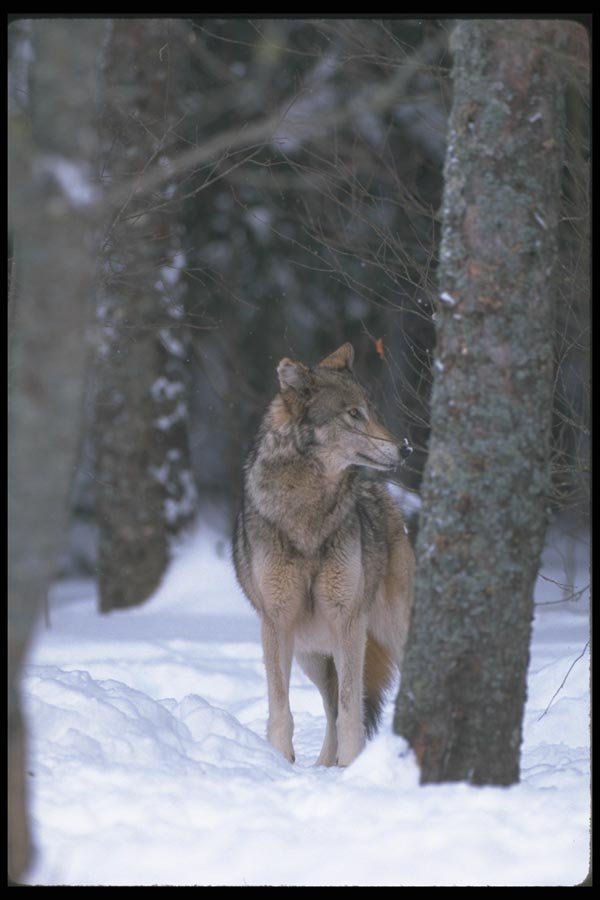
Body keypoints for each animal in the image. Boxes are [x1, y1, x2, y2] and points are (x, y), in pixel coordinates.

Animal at [233, 343, 414, 767]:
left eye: (372, 410)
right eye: (354, 414)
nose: (405, 448)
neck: (308, 514)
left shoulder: (347, 621)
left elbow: (351, 710)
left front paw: (351, 767)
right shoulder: (276, 622)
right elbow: (281, 707)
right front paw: (281, 760)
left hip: (385, 631)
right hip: (311, 654)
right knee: (329, 709)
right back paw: (322, 766)